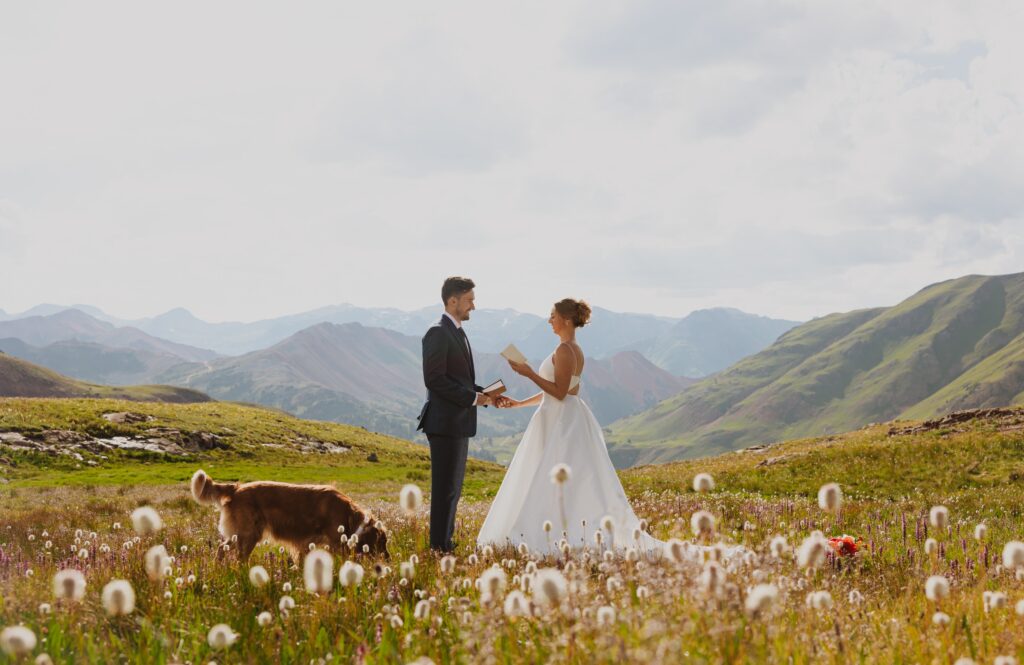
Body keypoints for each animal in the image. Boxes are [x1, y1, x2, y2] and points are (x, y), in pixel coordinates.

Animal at [189, 467, 387, 561]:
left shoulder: (306, 544)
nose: (389, 559)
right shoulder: (335, 543)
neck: (348, 514)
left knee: (221, 548)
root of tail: (236, 488)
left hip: (240, 535)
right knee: (239, 557)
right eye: (382, 543)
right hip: (248, 534)